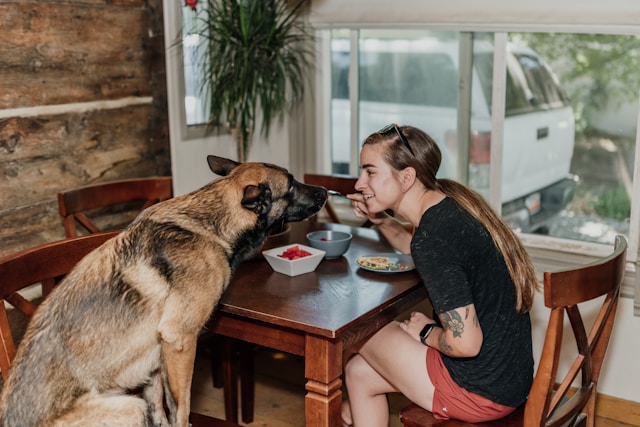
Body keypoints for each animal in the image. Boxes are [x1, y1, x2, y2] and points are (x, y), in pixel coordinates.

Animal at [0, 157, 328, 427]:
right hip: (129, 408)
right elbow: (181, 406)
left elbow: (160, 405)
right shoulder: (180, 339)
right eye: (291, 184)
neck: (211, 224)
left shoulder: (156, 359)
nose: (325, 191)